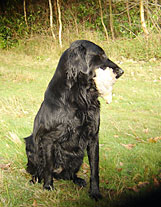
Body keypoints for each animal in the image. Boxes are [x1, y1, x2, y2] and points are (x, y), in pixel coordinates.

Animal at [24, 39, 124, 200]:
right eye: (100, 55)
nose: (121, 71)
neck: (80, 98)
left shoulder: (93, 137)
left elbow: (95, 170)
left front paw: (95, 192)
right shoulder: (48, 139)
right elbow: (48, 167)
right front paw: (48, 187)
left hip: (79, 156)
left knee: (69, 174)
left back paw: (77, 180)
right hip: (30, 146)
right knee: (39, 170)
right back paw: (35, 180)